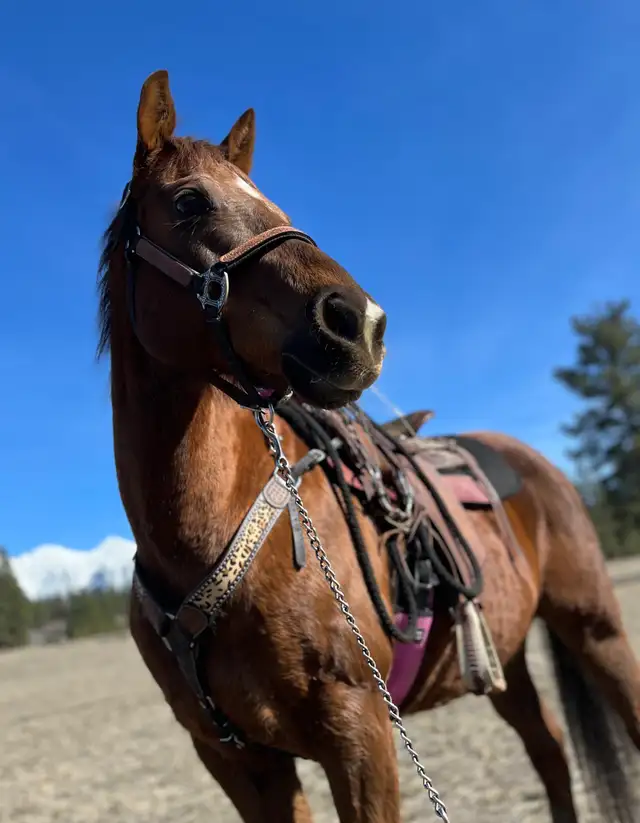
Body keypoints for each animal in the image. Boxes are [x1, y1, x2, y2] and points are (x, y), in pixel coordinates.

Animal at [96, 69, 640, 823]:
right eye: (189, 201)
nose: (361, 322)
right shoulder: (240, 764)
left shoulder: (361, 734)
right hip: (508, 656)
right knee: (551, 752)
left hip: (599, 630)